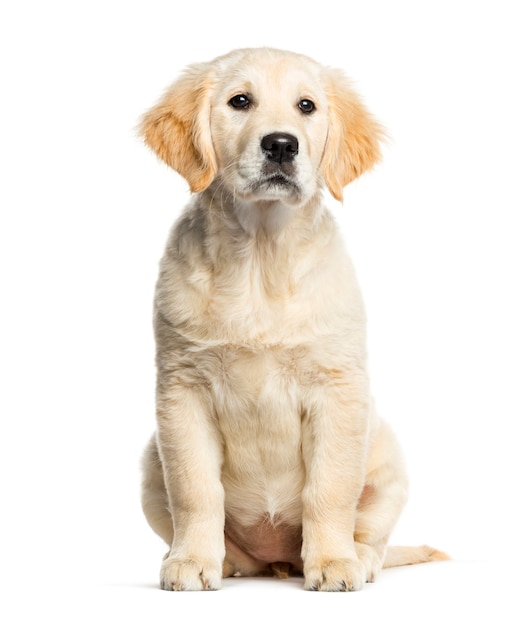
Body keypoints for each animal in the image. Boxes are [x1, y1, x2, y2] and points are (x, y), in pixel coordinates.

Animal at [138, 46, 448, 588]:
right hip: (150, 461)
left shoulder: (337, 389)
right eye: (240, 101)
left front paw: (333, 563)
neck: (261, 258)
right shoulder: (181, 391)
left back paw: (357, 557)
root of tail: (275, 560)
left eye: (307, 106)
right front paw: (192, 561)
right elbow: (196, 490)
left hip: (387, 456)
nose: (281, 145)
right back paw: (222, 559)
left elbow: (330, 488)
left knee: (372, 532)